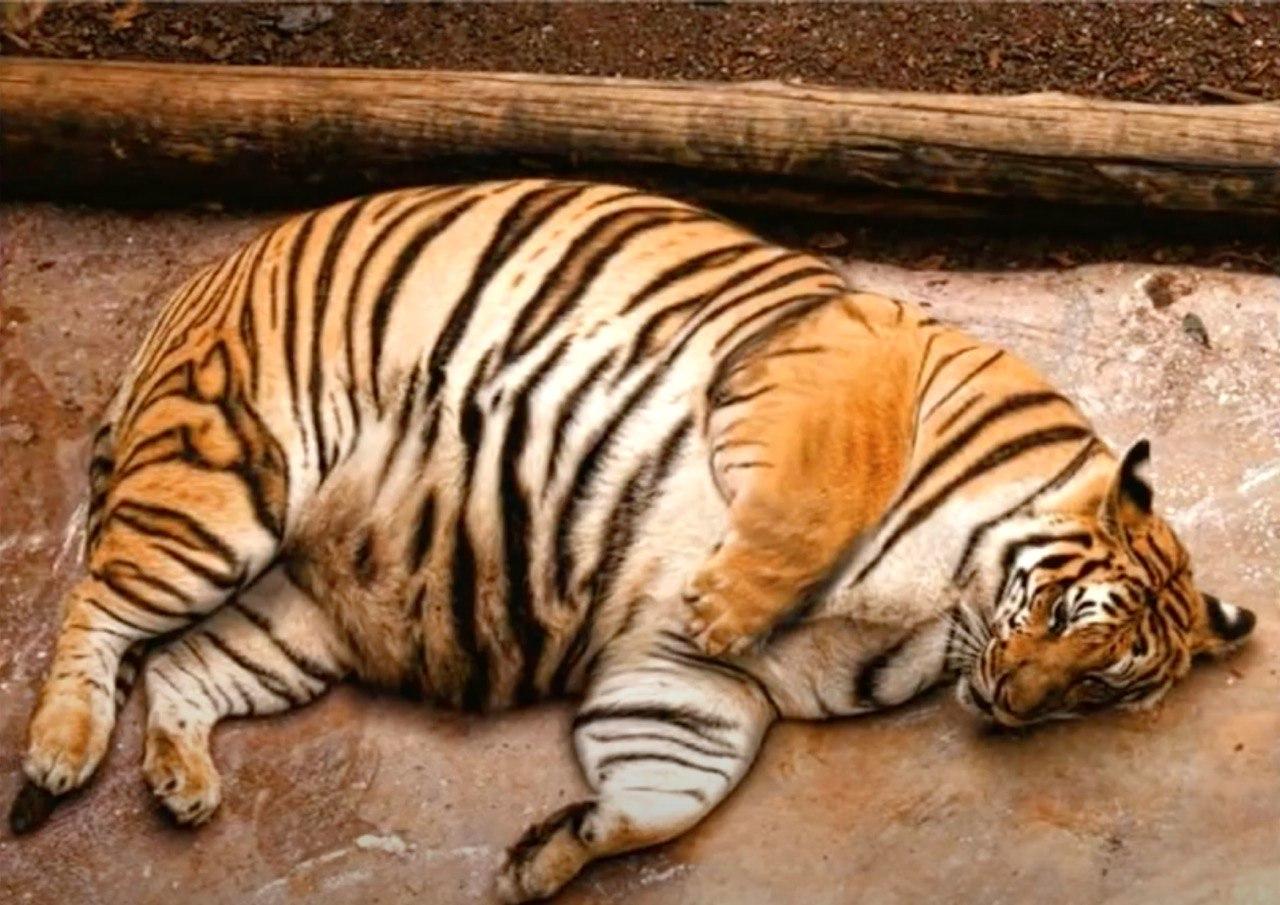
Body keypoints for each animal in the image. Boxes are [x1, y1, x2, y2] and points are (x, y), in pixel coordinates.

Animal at [9, 179, 1255, 902]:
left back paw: (179, 781)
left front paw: (548, 849)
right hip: (223, 486)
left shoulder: (700, 687)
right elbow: (820, 490)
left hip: (295, 616)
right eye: (1057, 613)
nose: (1010, 702)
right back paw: (61, 748)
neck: (951, 613)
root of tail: (197, 282)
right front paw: (728, 598)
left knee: (179, 666)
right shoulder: (839, 356)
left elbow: (670, 783)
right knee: (96, 607)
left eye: (1100, 685)